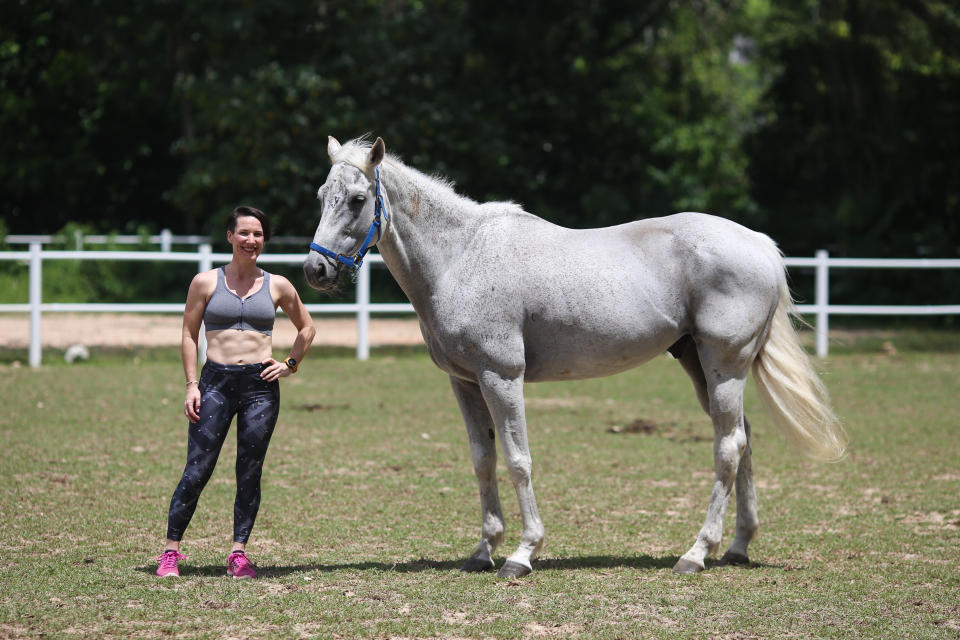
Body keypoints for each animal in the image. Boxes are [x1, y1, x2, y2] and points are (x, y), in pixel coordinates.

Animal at [302, 138, 848, 576]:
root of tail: (759, 243)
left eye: (357, 199)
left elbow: (517, 459)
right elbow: (482, 460)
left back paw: (695, 553)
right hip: (700, 364)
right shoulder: (465, 381)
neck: (462, 256)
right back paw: (736, 546)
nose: (314, 270)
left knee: (729, 447)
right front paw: (483, 550)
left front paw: (523, 554)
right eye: (321, 197)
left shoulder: (501, 376)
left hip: (724, 365)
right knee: (743, 440)